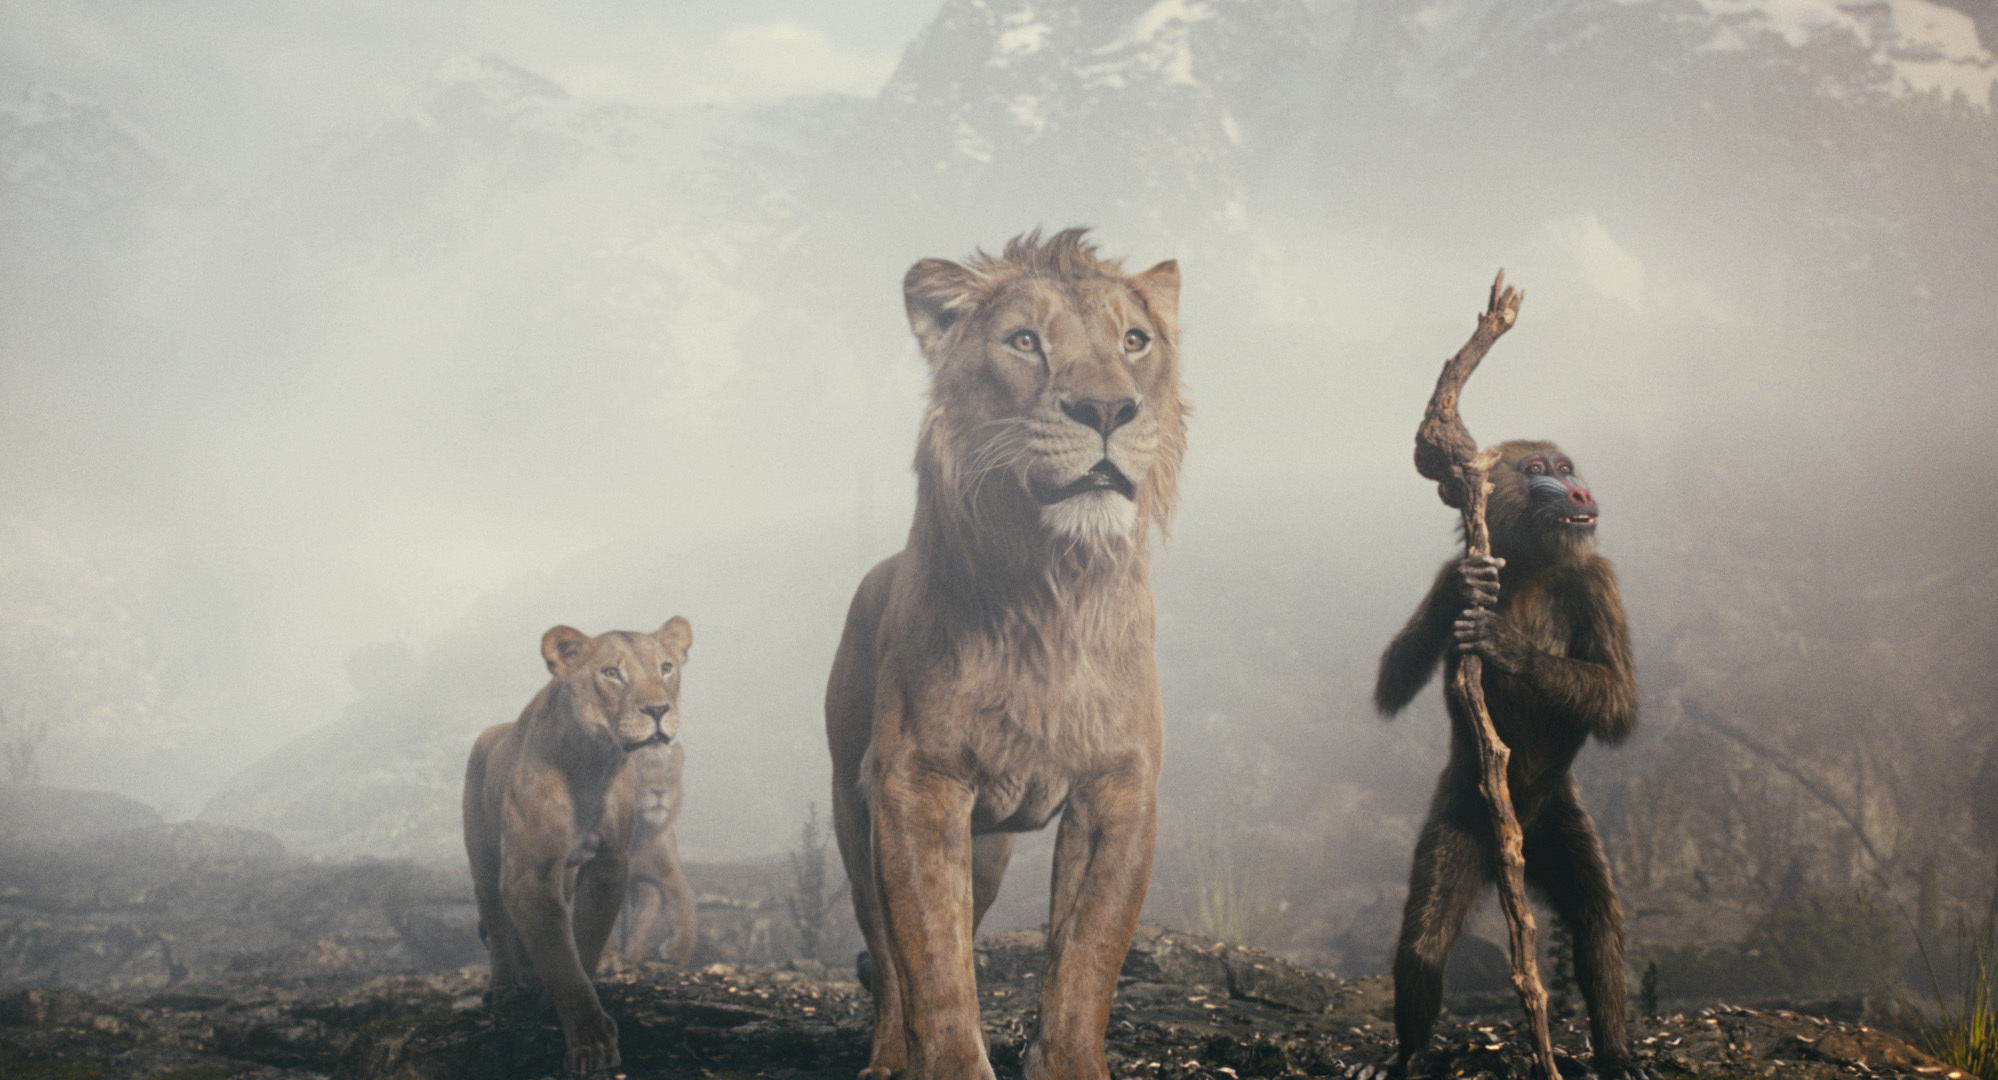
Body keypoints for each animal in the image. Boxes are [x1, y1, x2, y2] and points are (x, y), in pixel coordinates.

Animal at [613, 739, 696, 965]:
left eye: (669, 771)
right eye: (639, 771)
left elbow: (682, 909)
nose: (659, 792)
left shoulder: (662, 876)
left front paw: (677, 952)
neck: (639, 833)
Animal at [825, 228, 1187, 1080]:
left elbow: (1086, 960)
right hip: (855, 810)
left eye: (1135, 341)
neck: (1053, 588)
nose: (1106, 408)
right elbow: (933, 965)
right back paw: (888, 1056)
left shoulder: (1119, 789)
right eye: (1025, 342)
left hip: (987, 849)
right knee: (887, 957)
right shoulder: (916, 785)